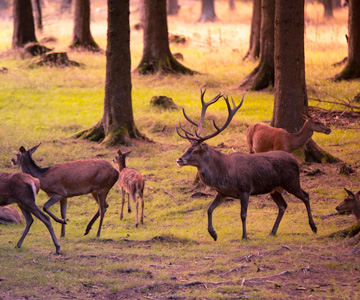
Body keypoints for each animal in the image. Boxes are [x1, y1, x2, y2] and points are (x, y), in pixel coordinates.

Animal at [176, 89, 316, 241]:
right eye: (188, 148)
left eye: (195, 151)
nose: (179, 160)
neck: (223, 173)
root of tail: (295, 160)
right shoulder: (222, 193)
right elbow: (209, 209)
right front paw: (213, 234)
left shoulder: (245, 189)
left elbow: (243, 215)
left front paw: (244, 236)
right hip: (275, 188)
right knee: (283, 205)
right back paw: (273, 231)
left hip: (291, 181)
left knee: (306, 195)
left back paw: (313, 227)